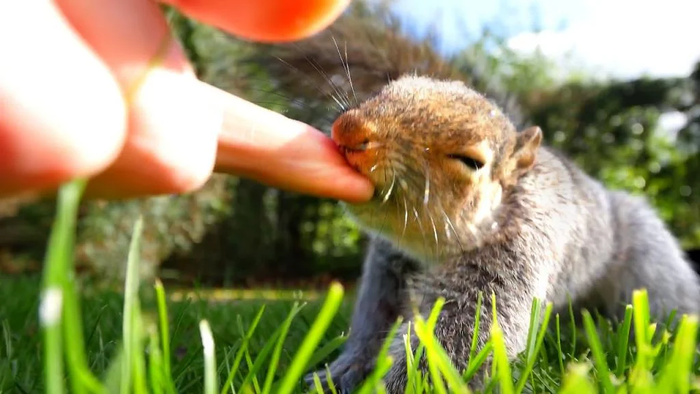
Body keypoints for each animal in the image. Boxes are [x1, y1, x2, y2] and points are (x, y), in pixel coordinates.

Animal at [238, 4, 700, 392]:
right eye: (391, 87)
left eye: (470, 160)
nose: (350, 129)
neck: (427, 247)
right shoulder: (388, 267)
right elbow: (375, 323)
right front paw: (340, 373)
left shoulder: (510, 260)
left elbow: (457, 341)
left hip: (650, 263)